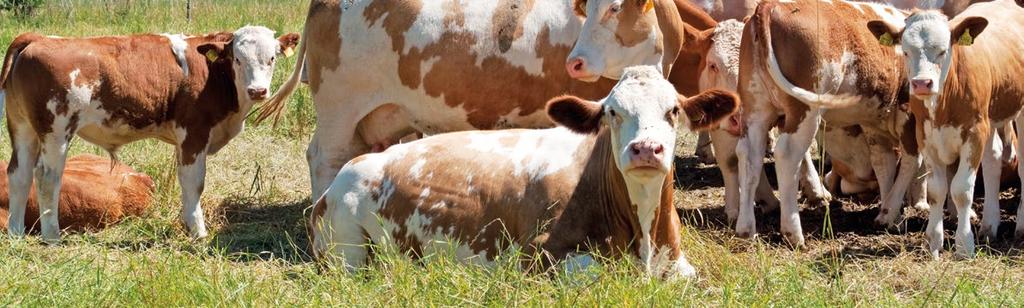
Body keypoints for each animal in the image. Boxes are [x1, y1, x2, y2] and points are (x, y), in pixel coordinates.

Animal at [307, 66, 741, 278]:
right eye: (612, 112)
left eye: (674, 110)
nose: (646, 149)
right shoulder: (540, 254)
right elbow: (597, 273)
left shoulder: (679, 263)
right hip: (348, 250)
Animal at [868, 0, 1024, 257]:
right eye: (906, 51)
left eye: (942, 50)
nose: (922, 83)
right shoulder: (926, 136)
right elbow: (937, 190)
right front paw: (934, 242)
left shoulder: (974, 133)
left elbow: (961, 190)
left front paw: (964, 245)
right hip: (991, 117)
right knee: (993, 159)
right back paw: (989, 225)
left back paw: (1019, 225)